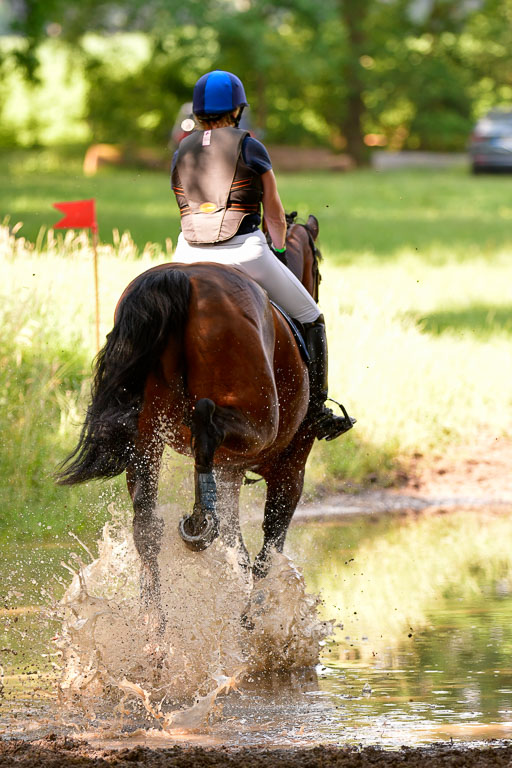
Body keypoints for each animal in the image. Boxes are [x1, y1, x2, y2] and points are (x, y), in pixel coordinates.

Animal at [57, 214, 324, 632]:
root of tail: (181, 278)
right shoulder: (290, 470)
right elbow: (267, 549)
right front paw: (255, 614)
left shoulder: (231, 471)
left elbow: (238, 545)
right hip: (256, 426)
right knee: (206, 425)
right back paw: (199, 523)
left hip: (145, 439)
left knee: (147, 524)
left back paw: (154, 626)